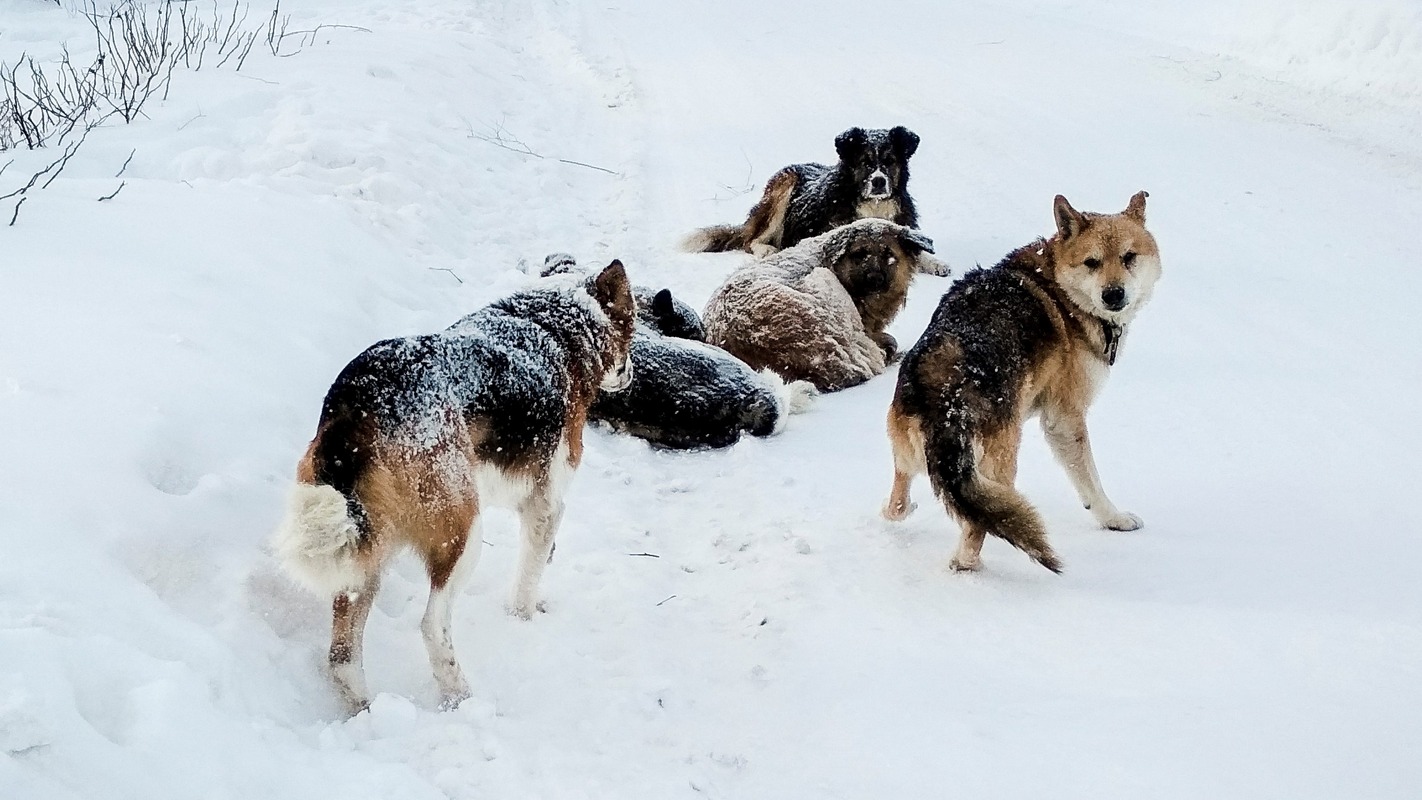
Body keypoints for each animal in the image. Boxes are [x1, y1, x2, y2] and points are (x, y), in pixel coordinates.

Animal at [270, 262, 634, 713]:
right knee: (432, 625)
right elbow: (528, 581)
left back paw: (366, 710)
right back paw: (459, 695)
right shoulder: (546, 506)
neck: (552, 324)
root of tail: (358, 403)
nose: (631, 375)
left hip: (361, 553)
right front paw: (525, 621)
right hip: (462, 532)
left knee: (342, 657)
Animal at [881, 194, 1160, 576]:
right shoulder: (1064, 420)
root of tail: (944, 396)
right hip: (1002, 464)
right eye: (1092, 262)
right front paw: (1113, 519)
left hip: (908, 453)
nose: (1113, 295)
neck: (1060, 288)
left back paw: (901, 510)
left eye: (1129, 257)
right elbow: (1091, 481)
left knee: (897, 503)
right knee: (971, 540)